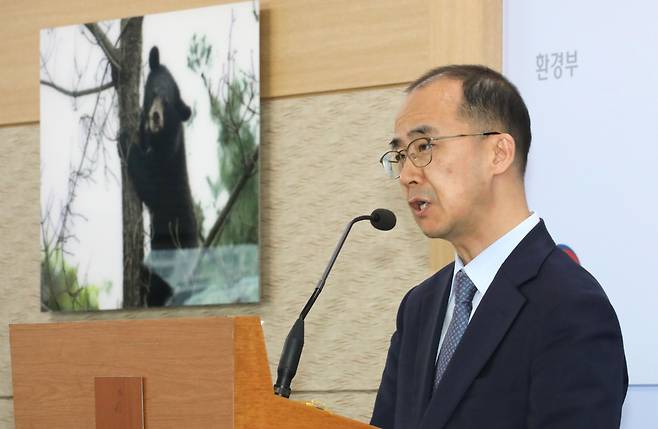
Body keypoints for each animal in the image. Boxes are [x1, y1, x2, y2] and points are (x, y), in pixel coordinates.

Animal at [127, 46, 199, 308]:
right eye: (154, 93)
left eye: (167, 103)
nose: (155, 117)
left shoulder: (167, 159)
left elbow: (151, 184)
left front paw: (123, 138)